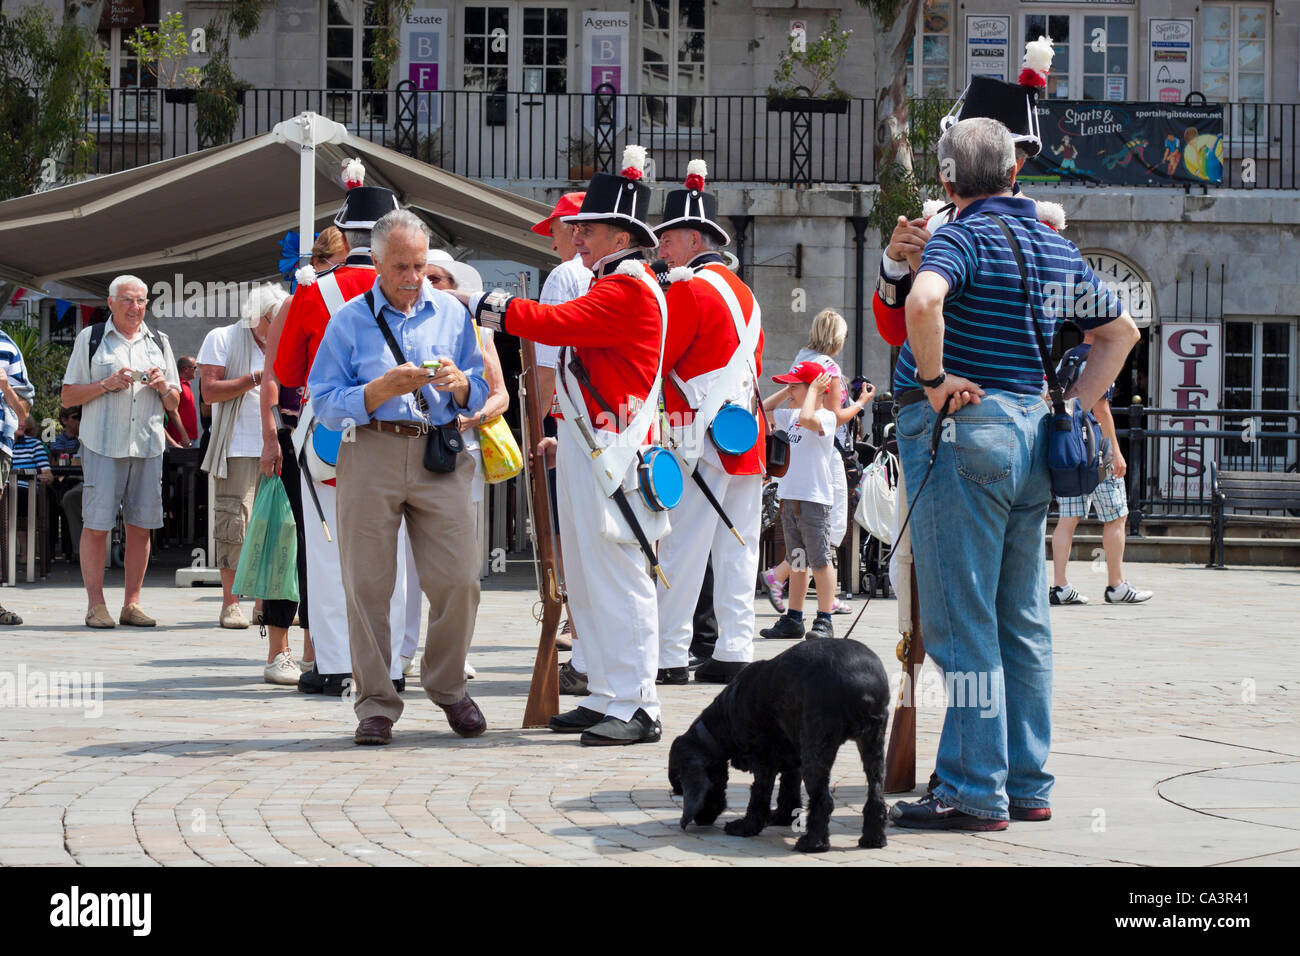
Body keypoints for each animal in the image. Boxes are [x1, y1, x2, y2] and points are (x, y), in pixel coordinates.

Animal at [665, 642, 889, 853]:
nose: (700, 819)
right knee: (876, 793)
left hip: (817, 747)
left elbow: (759, 793)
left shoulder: (763, 759)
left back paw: (812, 842)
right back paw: (873, 839)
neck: (725, 716)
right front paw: (783, 816)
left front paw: (745, 827)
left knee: (823, 799)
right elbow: (789, 786)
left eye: (680, 787)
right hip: (873, 744)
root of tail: (864, 685)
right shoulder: (794, 754)